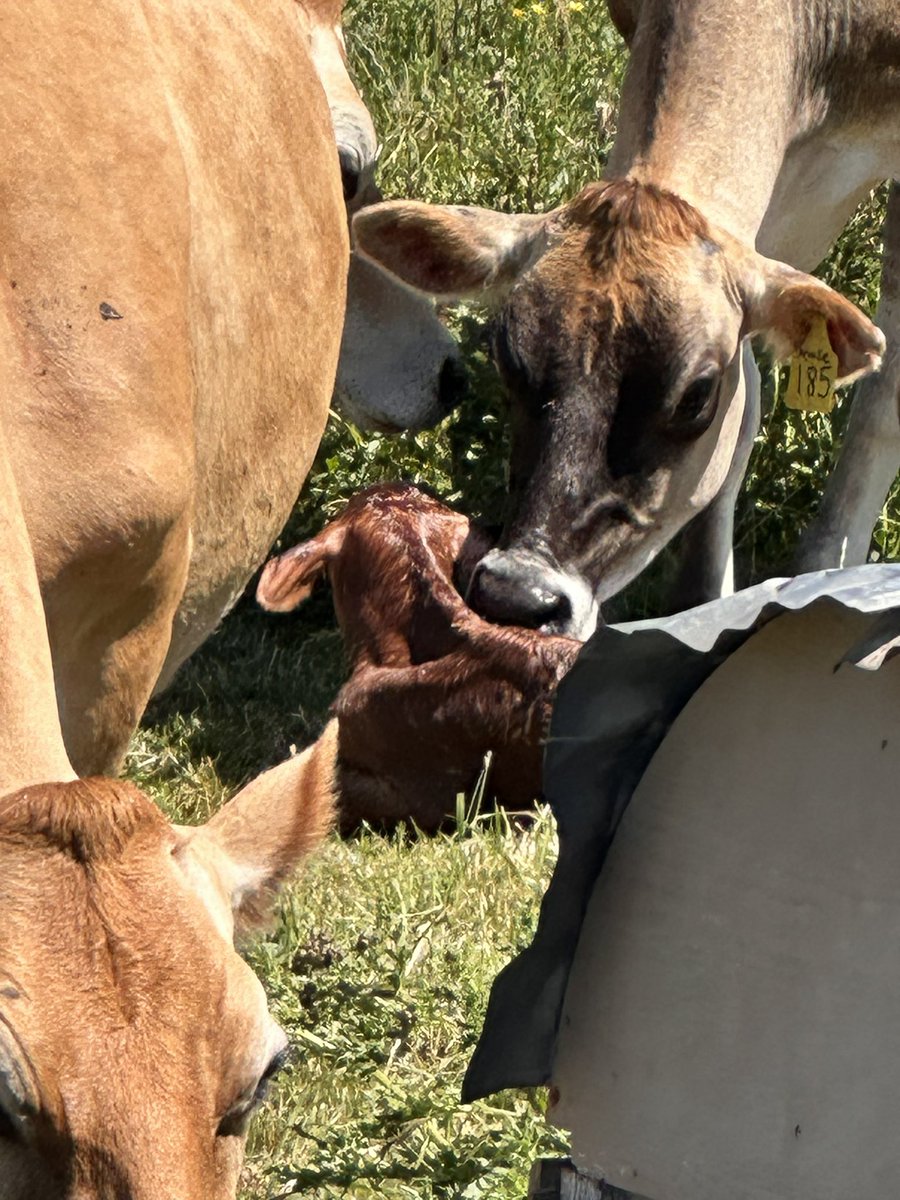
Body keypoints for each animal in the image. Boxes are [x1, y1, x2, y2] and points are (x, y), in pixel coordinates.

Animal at [351, 0, 900, 637]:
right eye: (507, 356)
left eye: (696, 395)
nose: (518, 594)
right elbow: (748, 404)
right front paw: (704, 600)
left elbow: (880, 403)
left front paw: (824, 571)